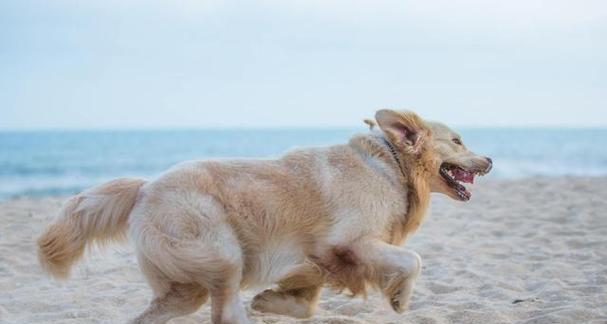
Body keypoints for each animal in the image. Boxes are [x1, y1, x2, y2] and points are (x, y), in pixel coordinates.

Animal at [36, 110, 494, 322]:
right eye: (457, 140)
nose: (489, 159)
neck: (392, 165)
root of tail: (145, 187)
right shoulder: (350, 242)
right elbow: (412, 259)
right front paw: (399, 297)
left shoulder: (318, 256)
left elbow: (306, 300)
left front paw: (273, 300)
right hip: (221, 254)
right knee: (224, 311)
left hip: (185, 288)